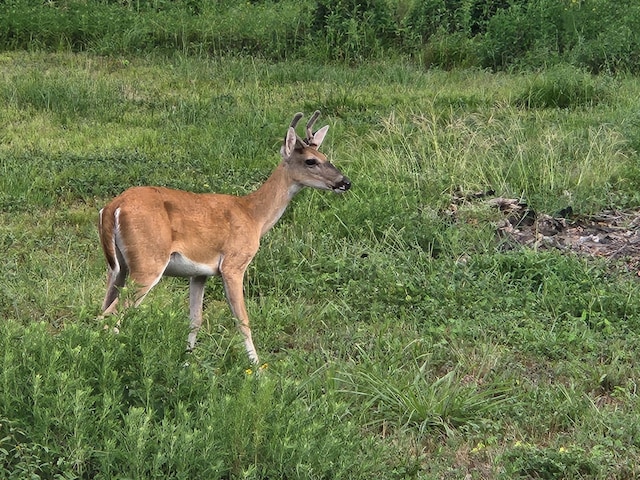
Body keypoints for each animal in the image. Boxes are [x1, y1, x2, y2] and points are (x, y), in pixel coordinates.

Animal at [97, 111, 352, 364]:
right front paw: (257, 368)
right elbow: (242, 320)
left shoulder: (199, 273)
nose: (345, 182)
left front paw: (188, 361)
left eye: (325, 155)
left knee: (103, 309)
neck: (253, 216)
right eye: (311, 161)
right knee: (111, 315)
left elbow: (195, 319)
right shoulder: (233, 264)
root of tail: (113, 206)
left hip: (118, 267)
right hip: (148, 262)